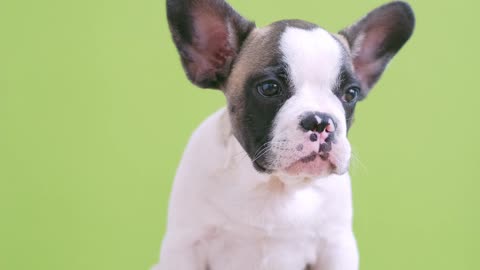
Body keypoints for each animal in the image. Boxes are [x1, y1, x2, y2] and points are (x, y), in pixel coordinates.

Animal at [156, 1, 414, 268]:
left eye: (351, 93)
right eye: (269, 88)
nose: (321, 121)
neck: (276, 186)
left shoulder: (336, 246)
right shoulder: (187, 244)